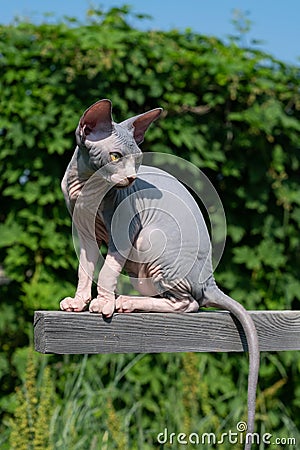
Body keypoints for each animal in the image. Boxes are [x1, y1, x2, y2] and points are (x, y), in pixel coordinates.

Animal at [59, 99, 258, 450]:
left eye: (137, 159)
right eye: (115, 157)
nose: (131, 178)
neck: (87, 190)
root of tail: (209, 278)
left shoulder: (124, 232)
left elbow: (107, 269)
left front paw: (103, 303)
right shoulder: (83, 232)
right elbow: (85, 269)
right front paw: (79, 302)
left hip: (151, 240)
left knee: (188, 303)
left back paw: (125, 302)